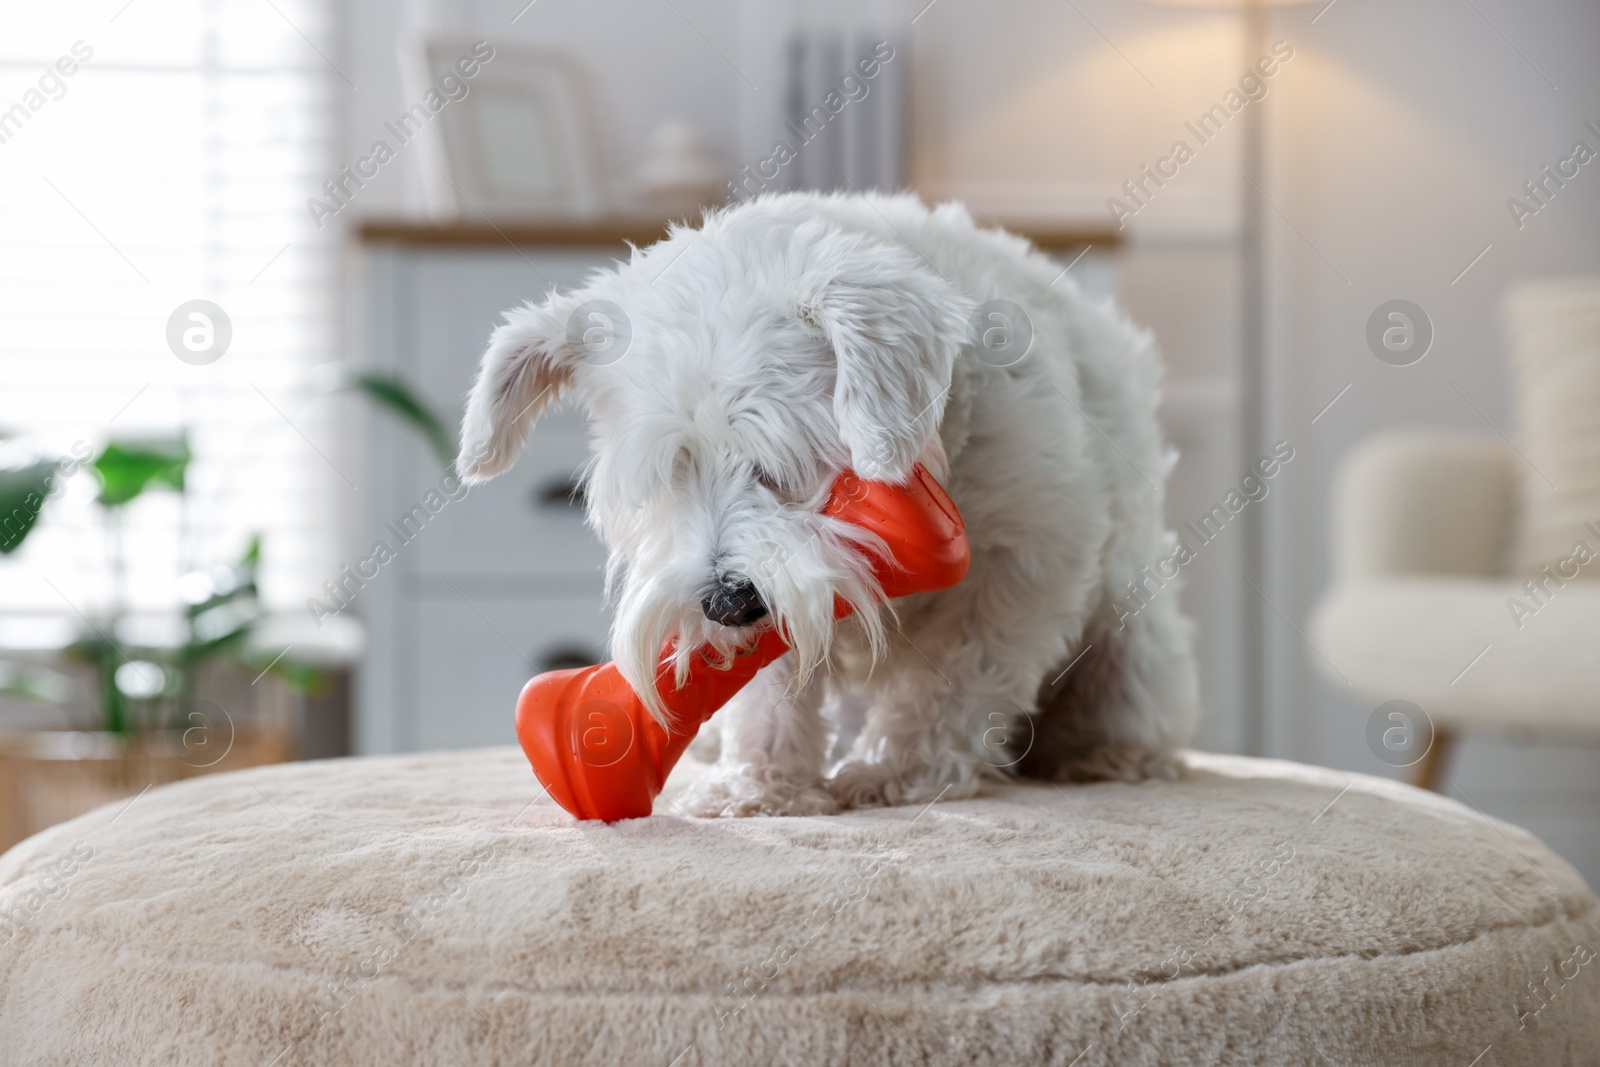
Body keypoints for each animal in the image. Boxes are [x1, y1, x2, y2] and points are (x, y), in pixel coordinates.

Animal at [457, 191, 1196, 819]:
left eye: (778, 463)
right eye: (668, 477)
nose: (727, 603)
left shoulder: (1031, 560)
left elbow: (956, 679)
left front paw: (898, 770)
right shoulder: (795, 589)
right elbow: (772, 679)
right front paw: (764, 784)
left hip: (1131, 635)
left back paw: (1113, 753)